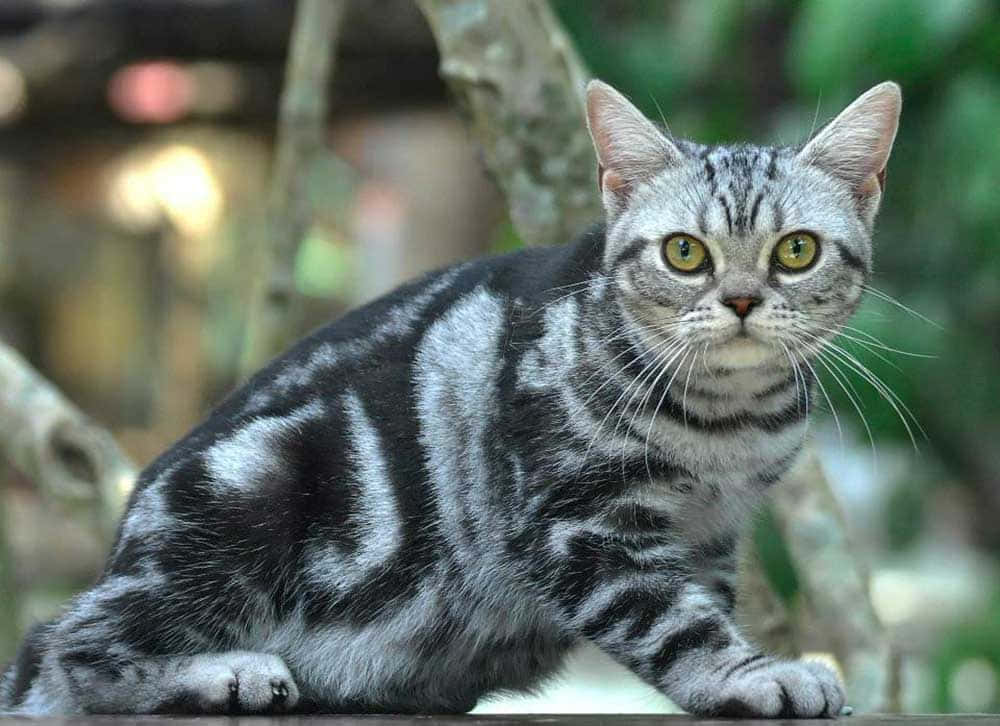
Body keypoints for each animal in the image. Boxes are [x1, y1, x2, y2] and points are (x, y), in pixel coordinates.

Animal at [1, 79, 908, 716]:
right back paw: (229, 672)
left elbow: (701, 608)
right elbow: (676, 624)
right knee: (68, 644)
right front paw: (750, 676)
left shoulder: (712, 534)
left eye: (795, 251)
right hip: (247, 496)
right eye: (686, 253)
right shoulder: (580, 523)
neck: (727, 426)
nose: (743, 300)